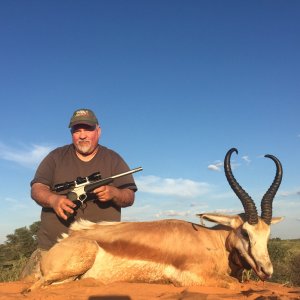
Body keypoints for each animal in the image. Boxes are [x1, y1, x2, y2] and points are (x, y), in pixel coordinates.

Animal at [25, 148, 284, 290]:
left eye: (268, 234)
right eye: (245, 232)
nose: (267, 270)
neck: (210, 241)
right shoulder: (191, 277)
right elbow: (232, 284)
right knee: (34, 288)